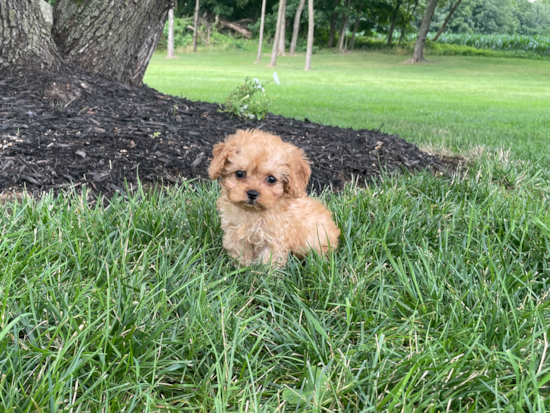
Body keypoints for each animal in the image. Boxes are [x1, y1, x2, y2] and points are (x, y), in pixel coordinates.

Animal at [208, 129, 340, 268]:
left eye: (271, 179)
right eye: (239, 173)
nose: (252, 193)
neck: (254, 213)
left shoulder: (275, 239)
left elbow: (267, 261)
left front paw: (258, 272)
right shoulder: (236, 235)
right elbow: (240, 254)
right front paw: (242, 269)